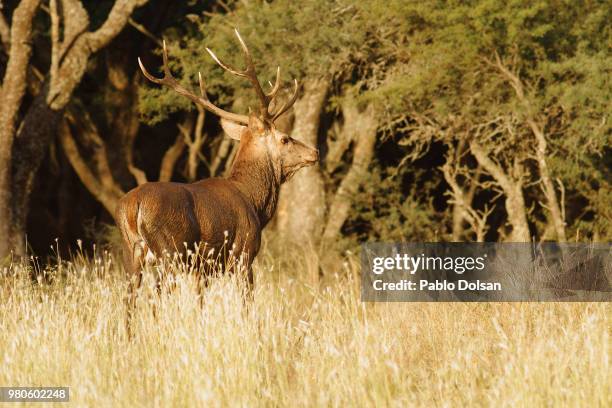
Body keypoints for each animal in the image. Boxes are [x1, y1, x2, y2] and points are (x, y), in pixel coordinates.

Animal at [115, 28, 318, 308]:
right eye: (285, 138)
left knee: (129, 302)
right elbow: (246, 303)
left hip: (131, 253)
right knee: (156, 299)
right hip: (171, 251)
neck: (254, 202)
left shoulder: (204, 268)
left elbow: (201, 302)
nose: (314, 152)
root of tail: (134, 207)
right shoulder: (243, 254)